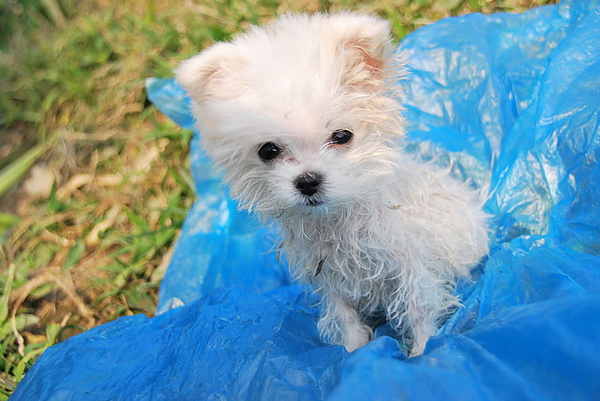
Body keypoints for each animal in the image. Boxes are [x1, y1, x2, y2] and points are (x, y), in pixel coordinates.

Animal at [177, 13, 488, 356]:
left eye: (342, 136)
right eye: (268, 151)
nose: (307, 181)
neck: (336, 221)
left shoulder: (412, 267)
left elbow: (418, 310)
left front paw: (421, 352)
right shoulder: (329, 277)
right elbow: (343, 314)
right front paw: (352, 352)